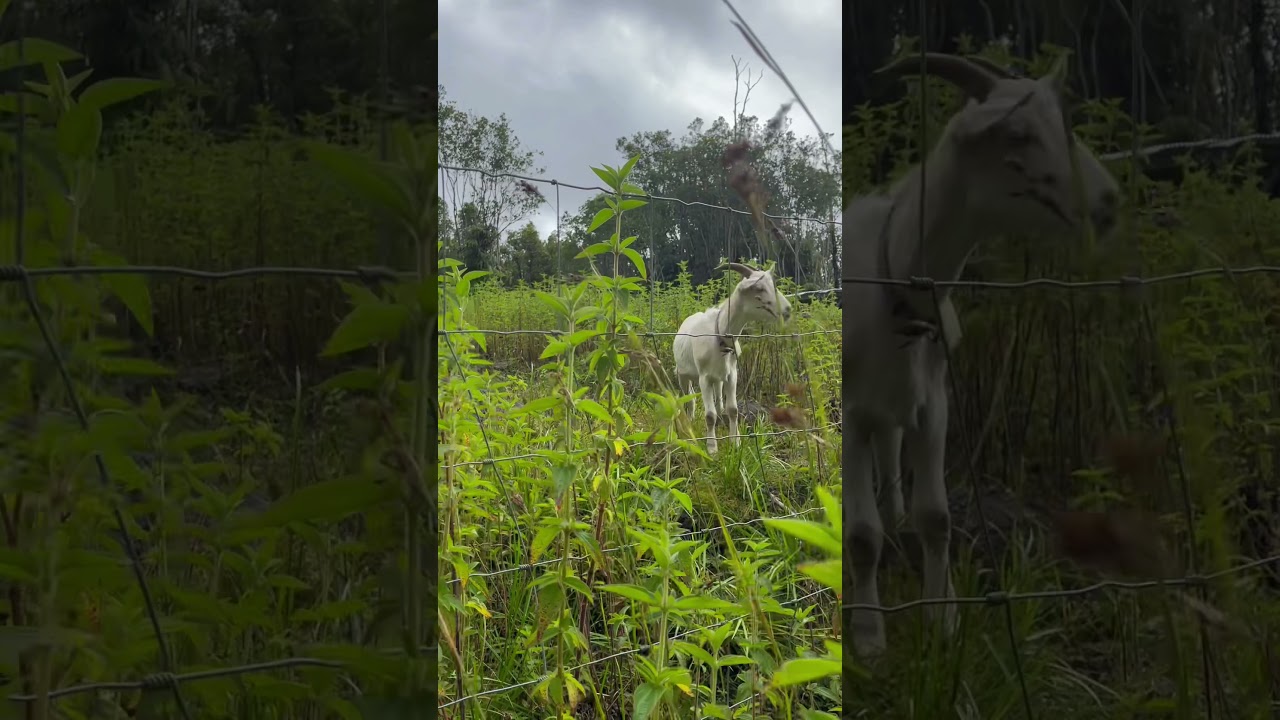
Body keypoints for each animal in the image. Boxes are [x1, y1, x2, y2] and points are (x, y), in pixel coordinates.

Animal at [673, 262, 792, 454]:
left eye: (773, 284)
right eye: (759, 288)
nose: (788, 310)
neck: (720, 336)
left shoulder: (731, 375)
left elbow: (733, 410)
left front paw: (734, 443)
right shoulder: (704, 378)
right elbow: (709, 415)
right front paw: (712, 449)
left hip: (718, 380)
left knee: (718, 403)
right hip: (682, 374)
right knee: (689, 399)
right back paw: (689, 426)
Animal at [843, 53, 1121, 658]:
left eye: (1064, 123)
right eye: (1017, 133)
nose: (1109, 203)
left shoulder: (934, 402)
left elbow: (936, 517)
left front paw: (942, 620)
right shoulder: (851, 413)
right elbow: (860, 535)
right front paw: (870, 641)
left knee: (893, 472)